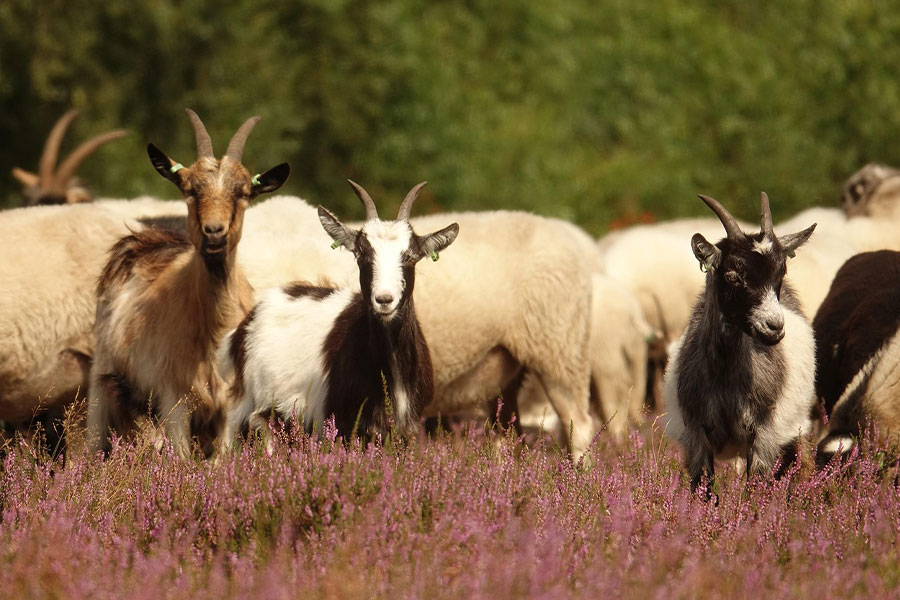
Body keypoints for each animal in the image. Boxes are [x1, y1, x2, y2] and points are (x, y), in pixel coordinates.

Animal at [87, 109, 289, 457]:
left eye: (243, 193)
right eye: (190, 189)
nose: (214, 232)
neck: (211, 330)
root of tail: (144, 240)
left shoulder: (227, 406)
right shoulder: (175, 401)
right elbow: (179, 460)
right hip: (103, 381)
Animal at [220, 181, 458, 441]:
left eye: (410, 257)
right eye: (362, 255)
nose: (384, 299)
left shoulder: (408, 428)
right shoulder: (344, 425)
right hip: (248, 404)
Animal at [663, 192, 816, 495]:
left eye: (780, 274)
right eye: (732, 275)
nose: (774, 327)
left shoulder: (763, 436)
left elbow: (755, 489)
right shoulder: (696, 435)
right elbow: (704, 490)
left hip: (795, 429)